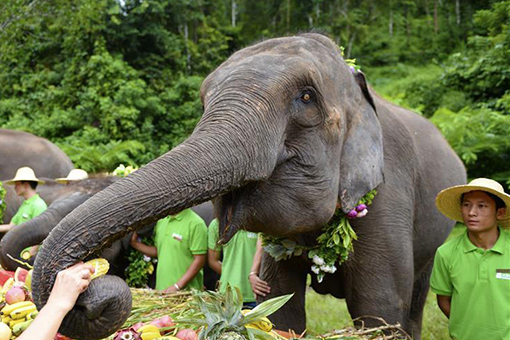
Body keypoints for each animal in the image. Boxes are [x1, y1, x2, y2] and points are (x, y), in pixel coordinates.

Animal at [30, 33, 466, 340]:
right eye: (204, 102)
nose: (90, 284)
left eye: (306, 97)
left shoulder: (389, 195)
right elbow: (279, 305)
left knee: (414, 300)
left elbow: (379, 307)